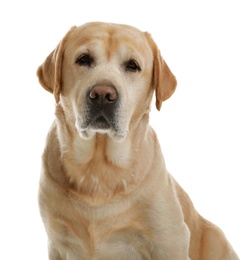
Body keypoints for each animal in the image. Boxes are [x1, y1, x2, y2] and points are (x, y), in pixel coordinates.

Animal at [37, 22, 239, 260]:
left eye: (132, 65)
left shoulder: (170, 240)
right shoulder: (57, 243)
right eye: (84, 59)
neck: (98, 169)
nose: (103, 94)